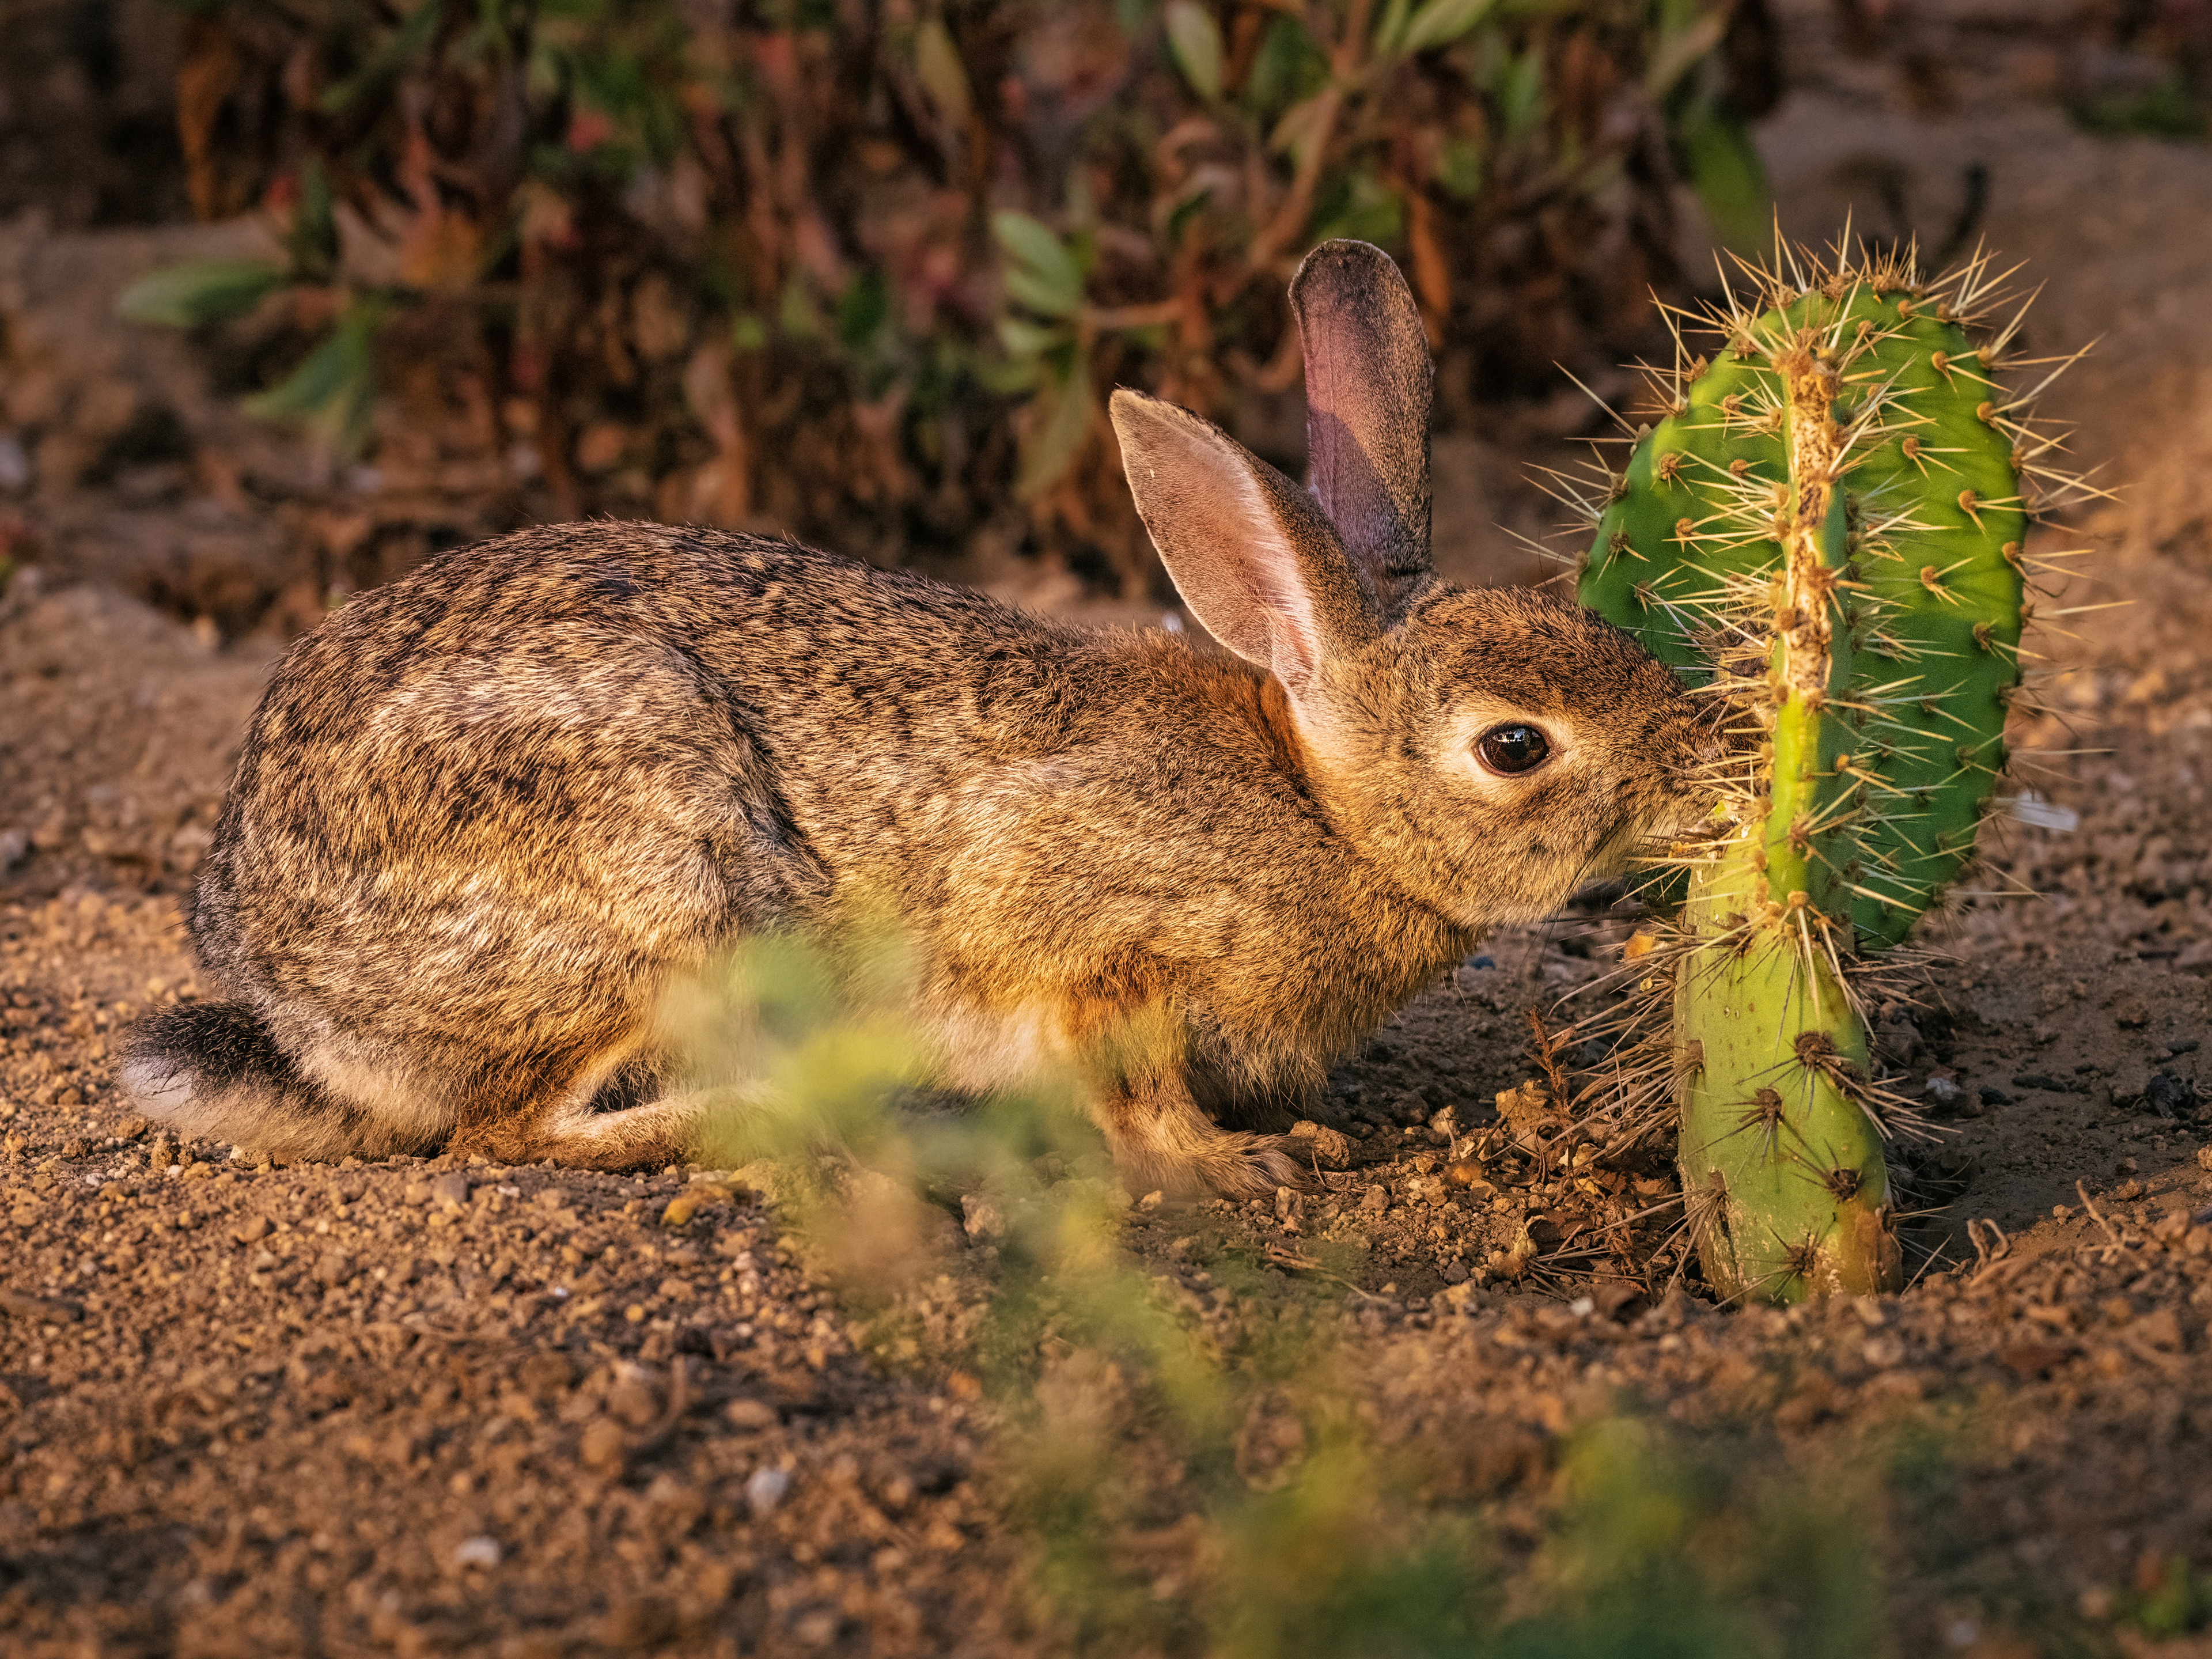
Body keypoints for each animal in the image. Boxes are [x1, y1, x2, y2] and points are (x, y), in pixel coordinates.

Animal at [120, 239, 1713, 1198]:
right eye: (1515, 746)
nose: (1698, 777)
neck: (1327, 811)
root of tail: (286, 984)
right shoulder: (1097, 943)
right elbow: (1129, 1080)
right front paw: (1233, 1167)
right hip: (656, 897)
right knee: (512, 1126)